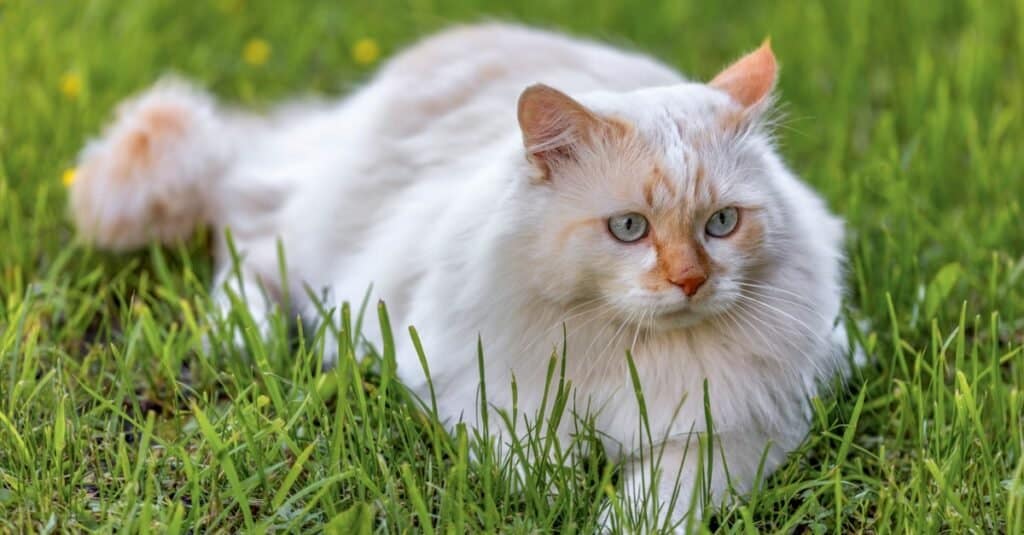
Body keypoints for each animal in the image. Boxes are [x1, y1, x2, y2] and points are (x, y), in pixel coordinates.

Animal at [70, 21, 847, 528]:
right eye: (629, 228)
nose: (689, 282)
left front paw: (604, 514)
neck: (630, 350)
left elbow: (657, 498)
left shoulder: (735, 435)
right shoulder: (477, 387)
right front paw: (556, 496)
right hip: (316, 245)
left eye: (721, 223)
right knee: (245, 250)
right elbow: (532, 458)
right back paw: (241, 337)